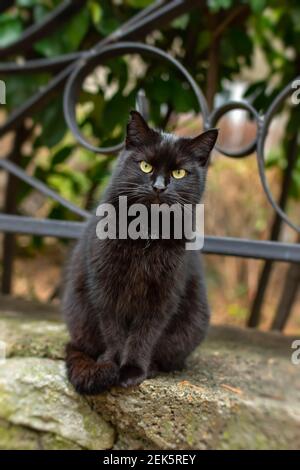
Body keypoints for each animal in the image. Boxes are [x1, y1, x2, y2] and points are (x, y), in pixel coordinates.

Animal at [62, 112, 218, 394]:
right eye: (145, 166)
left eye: (179, 172)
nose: (159, 187)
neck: (145, 233)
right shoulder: (106, 289)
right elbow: (114, 331)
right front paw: (113, 364)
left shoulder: (161, 297)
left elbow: (144, 334)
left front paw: (133, 371)